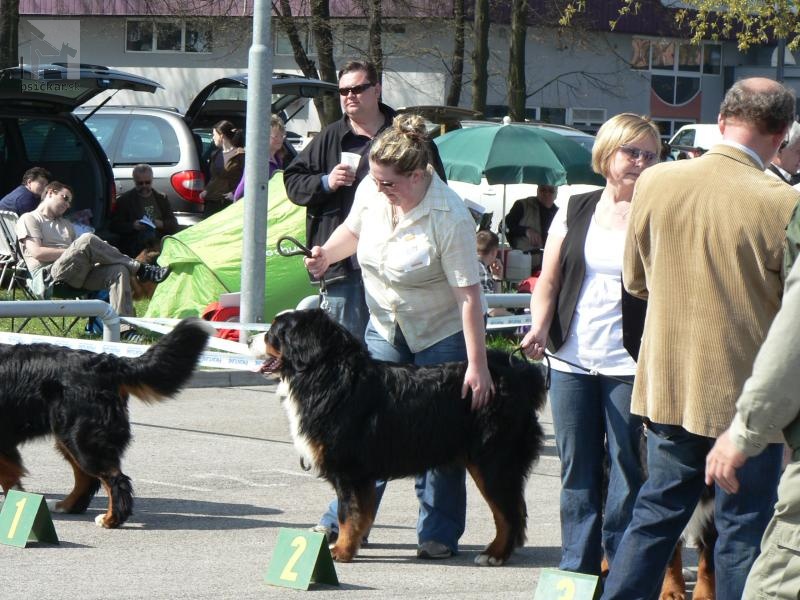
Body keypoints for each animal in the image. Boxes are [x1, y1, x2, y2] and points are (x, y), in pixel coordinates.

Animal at [0, 318, 212, 524]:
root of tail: (108, 362)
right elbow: (10, 476)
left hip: (82, 439)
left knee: (115, 479)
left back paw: (111, 519)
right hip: (71, 438)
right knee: (87, 478)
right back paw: (66, 506)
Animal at [253, 310, 548, 568]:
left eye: (273, 333)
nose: (249, 338)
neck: (327, 376)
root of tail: (518, 375)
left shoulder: (349, 472)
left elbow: (348, 514)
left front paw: (340, 551)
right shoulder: (362, 475)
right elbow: (362, 514)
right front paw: (352, 546)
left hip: (492, 463)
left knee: (509, 514)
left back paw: (494, 554)